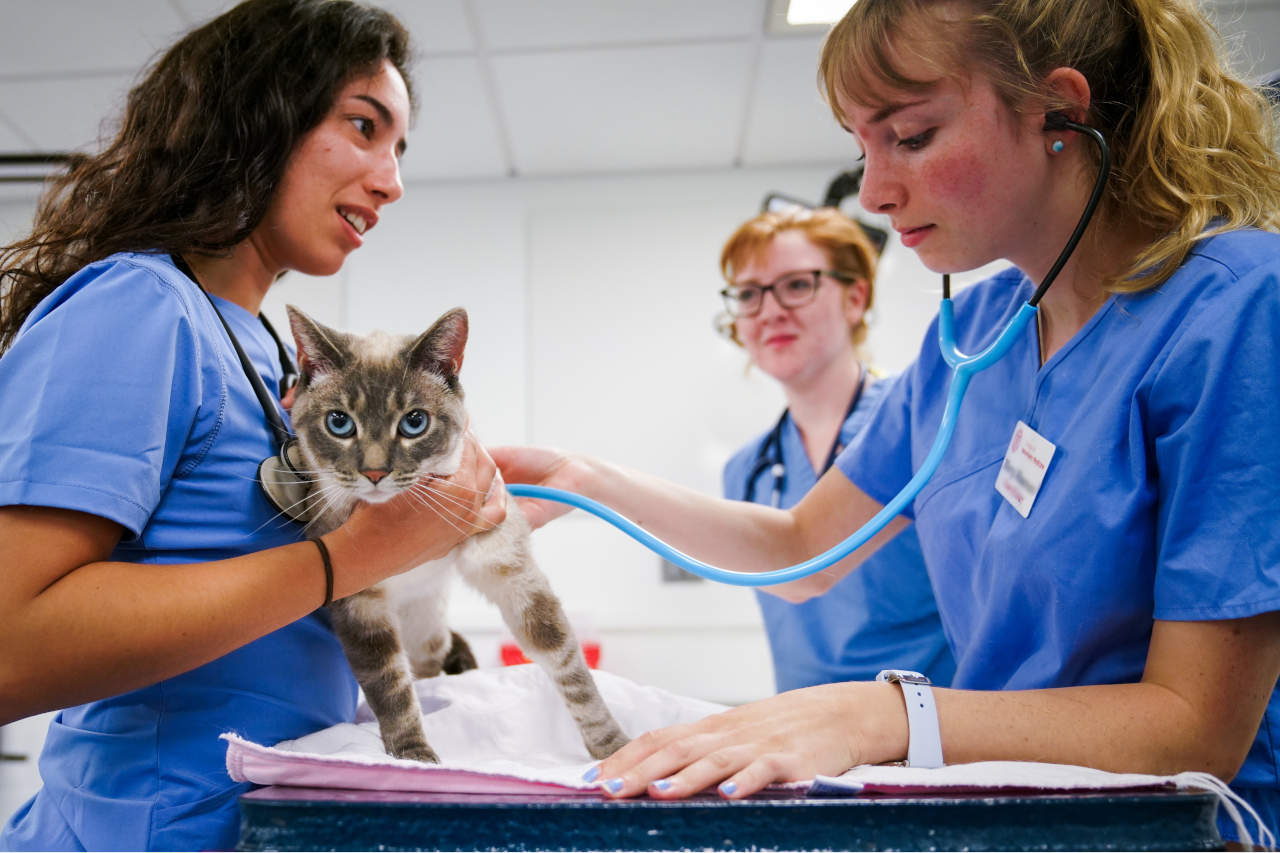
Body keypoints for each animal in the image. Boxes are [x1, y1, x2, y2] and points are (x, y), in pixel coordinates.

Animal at [286, 302, 634, 758]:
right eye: (339, 423)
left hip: (427, 626)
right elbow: (389, 687)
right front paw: (413, 756)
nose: (375, 473)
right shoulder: (361, 606)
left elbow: (568, 665)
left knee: (433, 661)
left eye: (414, 422)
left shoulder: (510, 569)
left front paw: (613, 748)